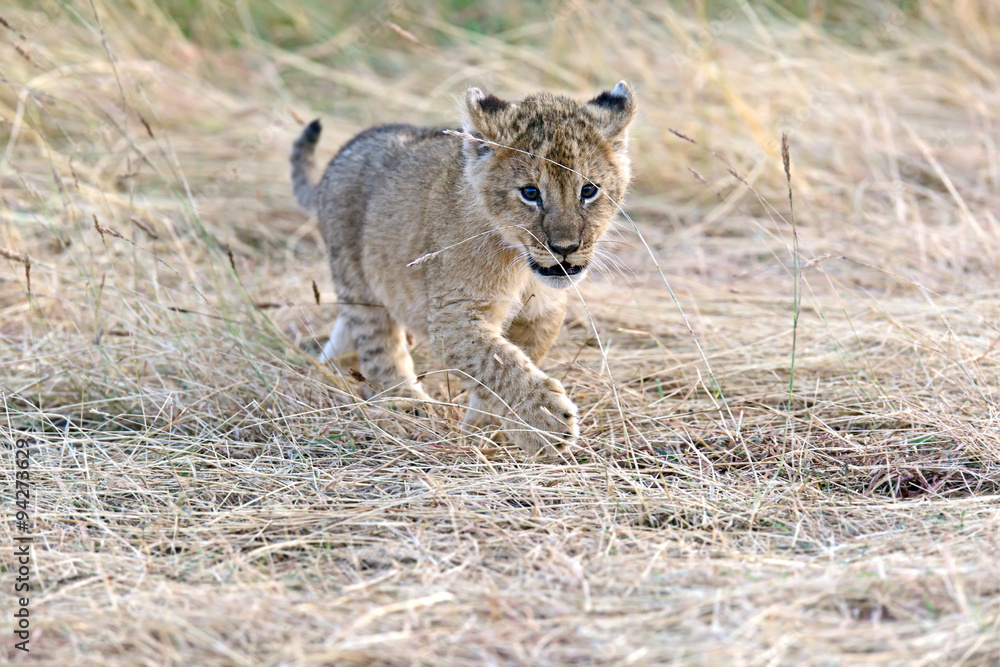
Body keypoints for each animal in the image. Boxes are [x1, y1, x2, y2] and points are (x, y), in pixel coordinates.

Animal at [291, 82, 636, 456]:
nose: (565, 248)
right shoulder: (451, 314)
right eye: (530, 192)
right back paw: (407, 403)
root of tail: (345, 150)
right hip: (359, 281)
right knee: (379, 346)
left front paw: (486, 430)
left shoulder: (541, 316)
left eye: (588, 190)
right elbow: (498, 362)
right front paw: (545, 422)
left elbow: (515, 359)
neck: (521, 267)